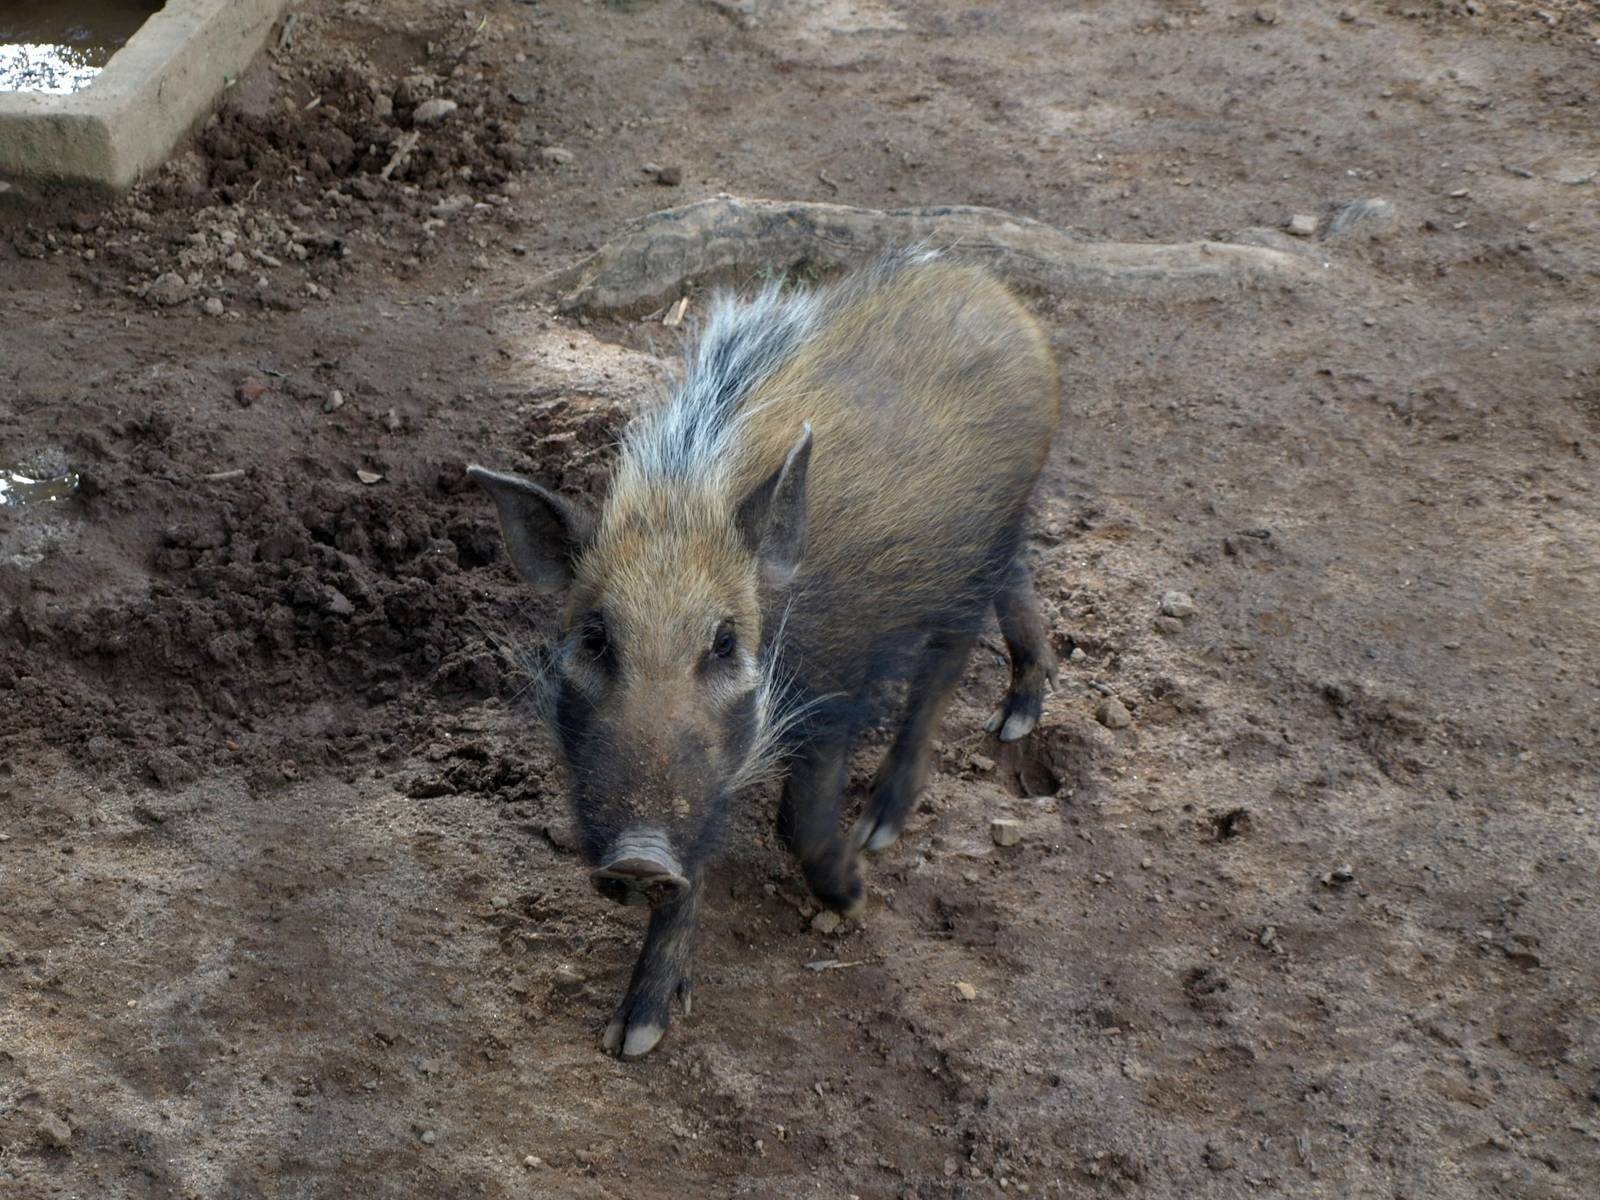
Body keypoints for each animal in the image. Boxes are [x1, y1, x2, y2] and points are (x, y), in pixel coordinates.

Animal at [468, 252, 1060, 1057]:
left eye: (724, 641)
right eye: (593, 637)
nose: (637, 857)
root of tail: (997, 293)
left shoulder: (836, 690)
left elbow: (799, 822)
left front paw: (854, 896)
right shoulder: (702, 787)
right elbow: (694, 868)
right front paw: (632, 1037)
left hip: (979, 550)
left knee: (949, 660)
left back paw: (905, 809)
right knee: (1019, 583)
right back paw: (1019, 715)